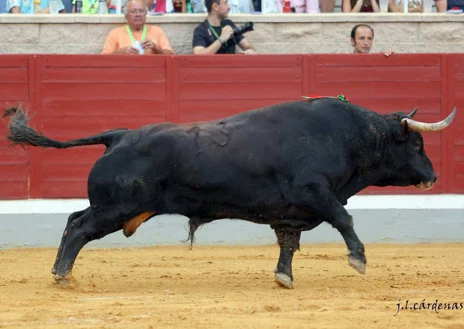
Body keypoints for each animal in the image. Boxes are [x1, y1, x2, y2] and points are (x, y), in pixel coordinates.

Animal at [1, 97, 454, 288]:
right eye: (417, 144)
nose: (433, 176)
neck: (350, 135)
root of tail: (119, 135)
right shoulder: (318, 194)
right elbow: (344, 219)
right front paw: (358, 260)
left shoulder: (292, 212)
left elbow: (289, 243)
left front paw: (284, 278)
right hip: (115, 207)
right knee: (79, 228)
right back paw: (63, 275)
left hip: (111, 207)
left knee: (72, 220)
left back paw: (59, 271)